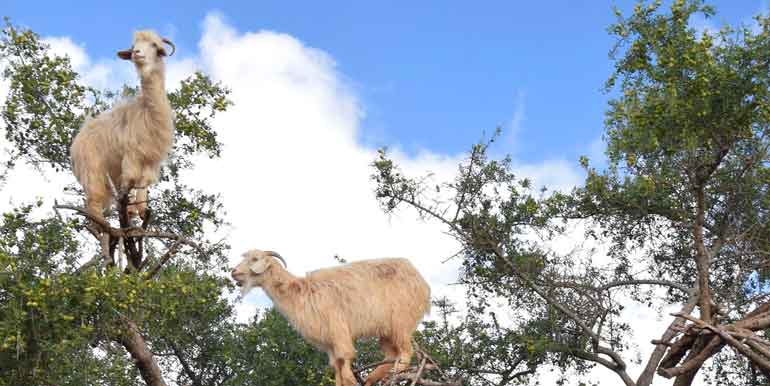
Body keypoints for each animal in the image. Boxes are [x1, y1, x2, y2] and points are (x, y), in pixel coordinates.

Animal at [70, 29, 175, 222]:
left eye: (154, 45)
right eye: (133, 46)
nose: (137, 53)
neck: (147, 110)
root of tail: (77, 141)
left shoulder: (150, 160)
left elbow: (144, 183)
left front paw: (141, 210)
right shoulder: (131, 155)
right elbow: (131, 179)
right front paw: (133, 210)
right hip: (92, 170)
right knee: (94, 203)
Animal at [228, 249, 432, 386]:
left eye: (255, 259)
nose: (233, 272)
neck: (301, 292)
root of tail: (422, 283)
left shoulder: (339, 332)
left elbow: (346, 369)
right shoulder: (330, 345)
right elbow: (338, 371)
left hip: (401, 323)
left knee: (405, 353)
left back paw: (392, 375)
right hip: (386, 331)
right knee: (391, 355)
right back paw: (372, 378)